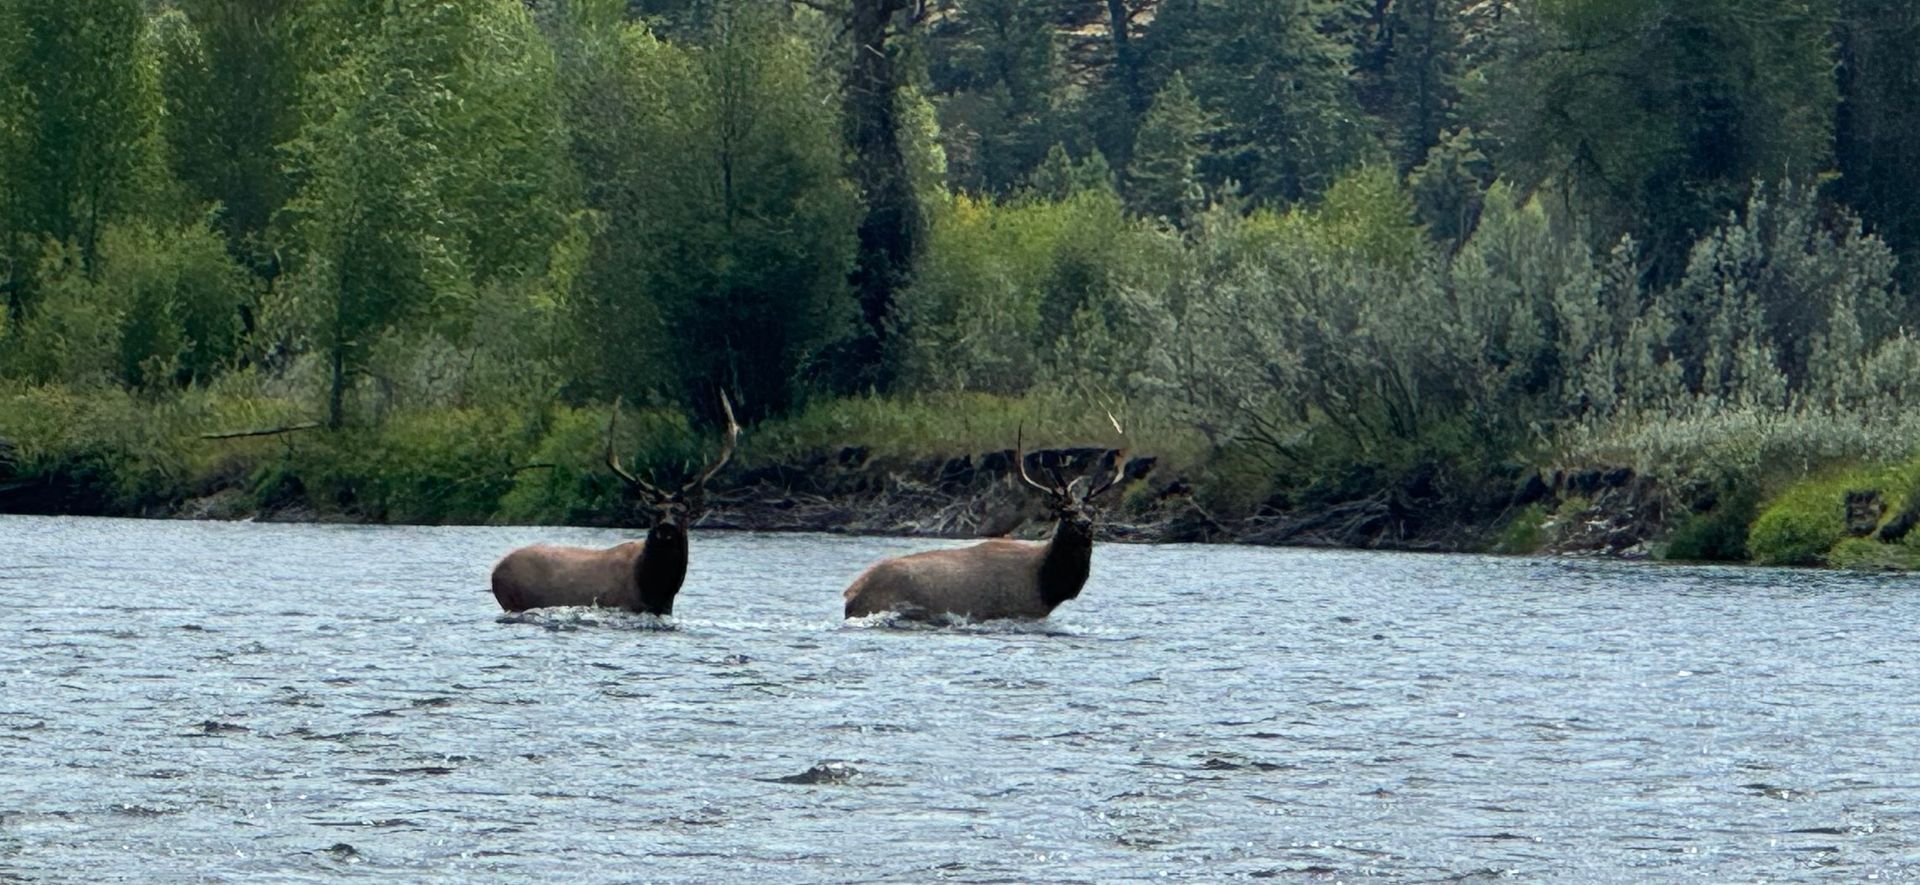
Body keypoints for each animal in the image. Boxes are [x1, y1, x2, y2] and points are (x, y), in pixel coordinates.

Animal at [490, 394, 739, 616]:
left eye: (682, 511)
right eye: (653, 512)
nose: (666, 527)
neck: (656, 590)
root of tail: (494, 571)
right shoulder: (619, 603)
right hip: (510, 599)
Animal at [842, 432, 1135, 621]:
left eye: (1092, 512)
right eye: (1066, 513)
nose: (1085, 525)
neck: (1046, 583)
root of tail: (850, 594)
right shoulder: (1019, 609)